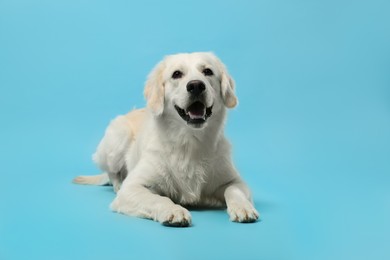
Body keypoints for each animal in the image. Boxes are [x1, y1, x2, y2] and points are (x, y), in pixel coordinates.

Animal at [74, 51, 260, 226]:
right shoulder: (133, 187)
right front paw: (174, 210)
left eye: (207, 71)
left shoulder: (235, 180)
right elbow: (158, 198)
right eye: (176, 74)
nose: (196, 85)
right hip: (118, 137)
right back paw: (118, 183)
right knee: (112, 173)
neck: (190, 142)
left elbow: (233, 190)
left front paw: (243, 208)